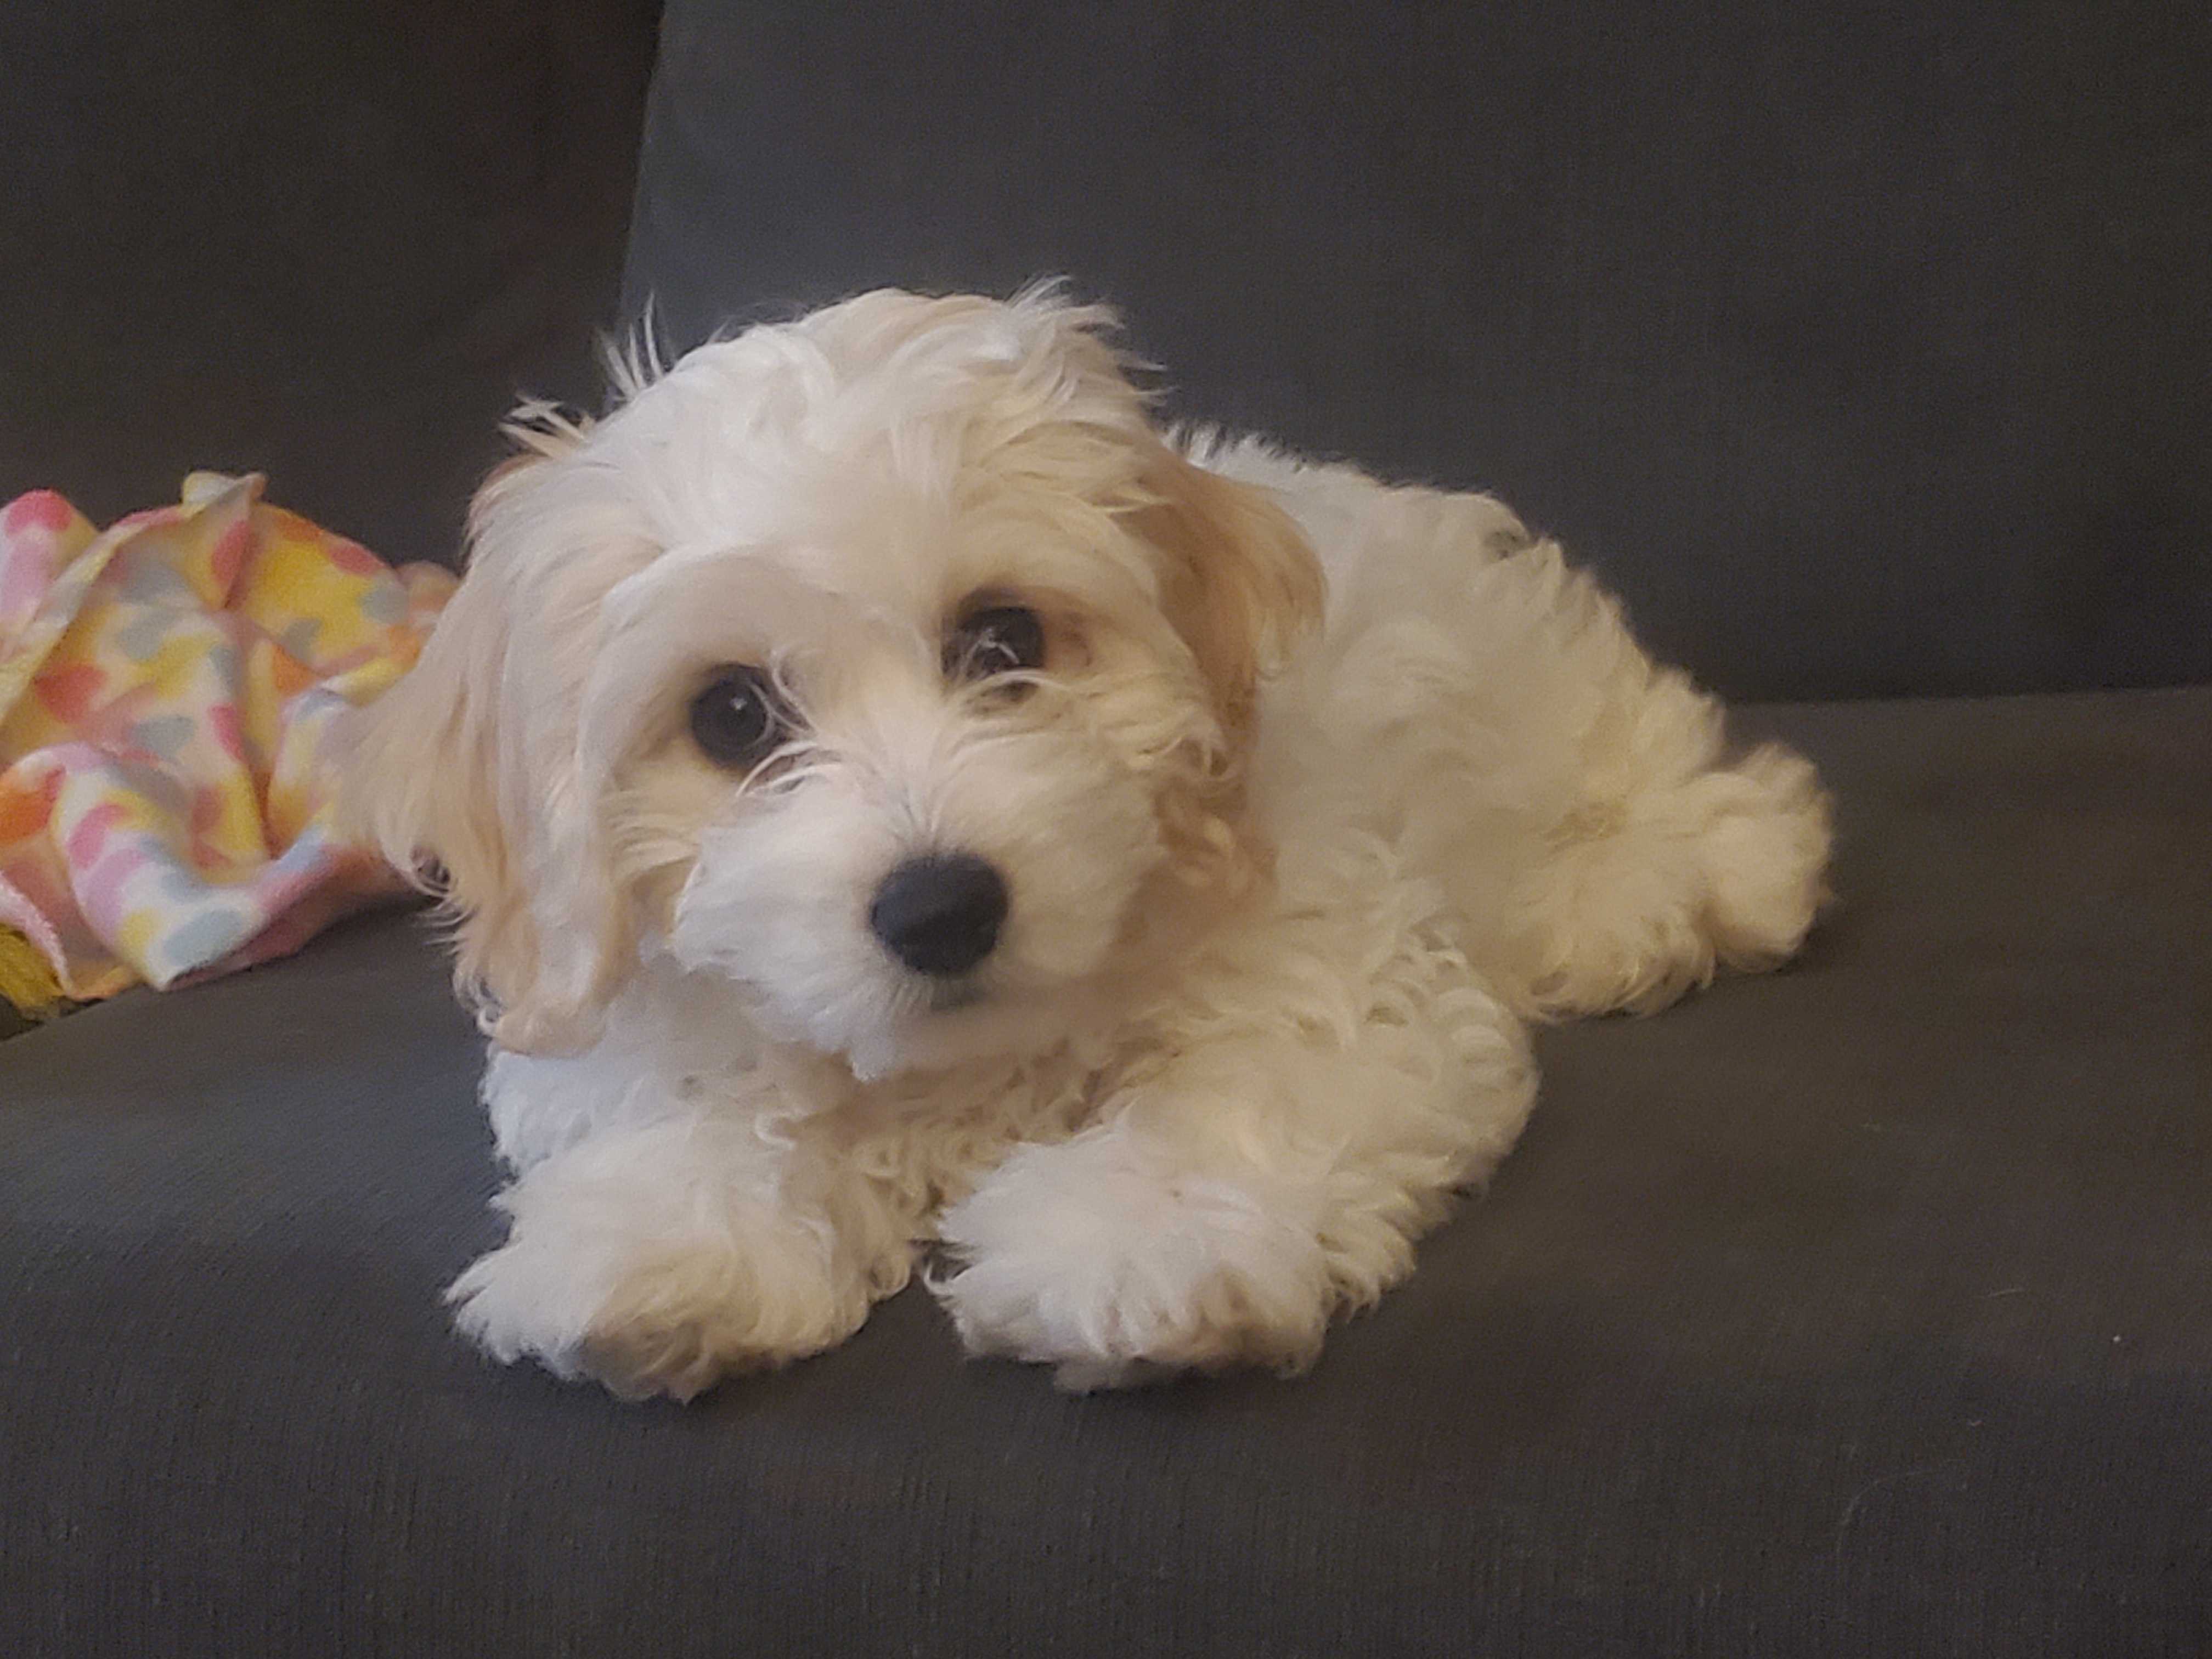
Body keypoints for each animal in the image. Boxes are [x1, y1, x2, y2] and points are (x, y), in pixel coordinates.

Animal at [341, 286, 1830, 1399]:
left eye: (1004, 640)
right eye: (730, 715)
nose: (940, 907)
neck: (972, 1064)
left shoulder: (1337, 964)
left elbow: (1248, 1092)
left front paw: (1134, 1244)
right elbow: (692, 1102)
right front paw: (663, 1235)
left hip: (1553, 702)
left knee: (1675, 775)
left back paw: (1667, 888)